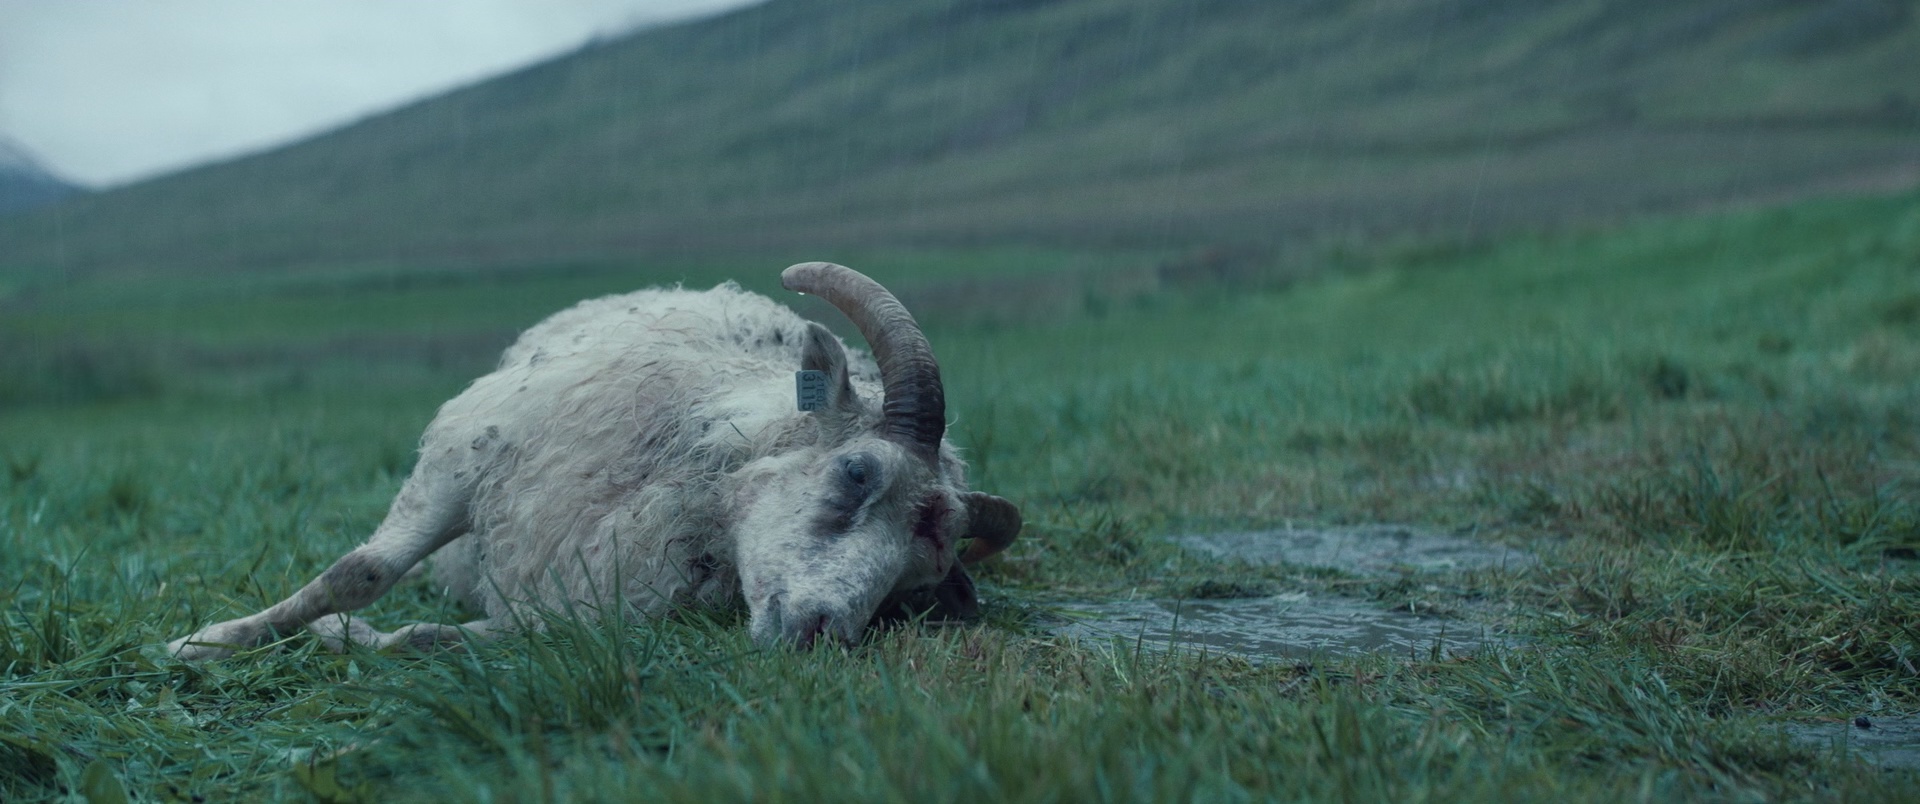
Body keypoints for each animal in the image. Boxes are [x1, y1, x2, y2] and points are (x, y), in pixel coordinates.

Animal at [168, 262, 1022, 659]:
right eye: (857, 473)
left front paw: (352, 637)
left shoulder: (577, 611)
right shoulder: (458, 460)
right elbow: (360, 573)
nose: (820, 631)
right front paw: (207, 640)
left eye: (913, 581)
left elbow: (428, 639)